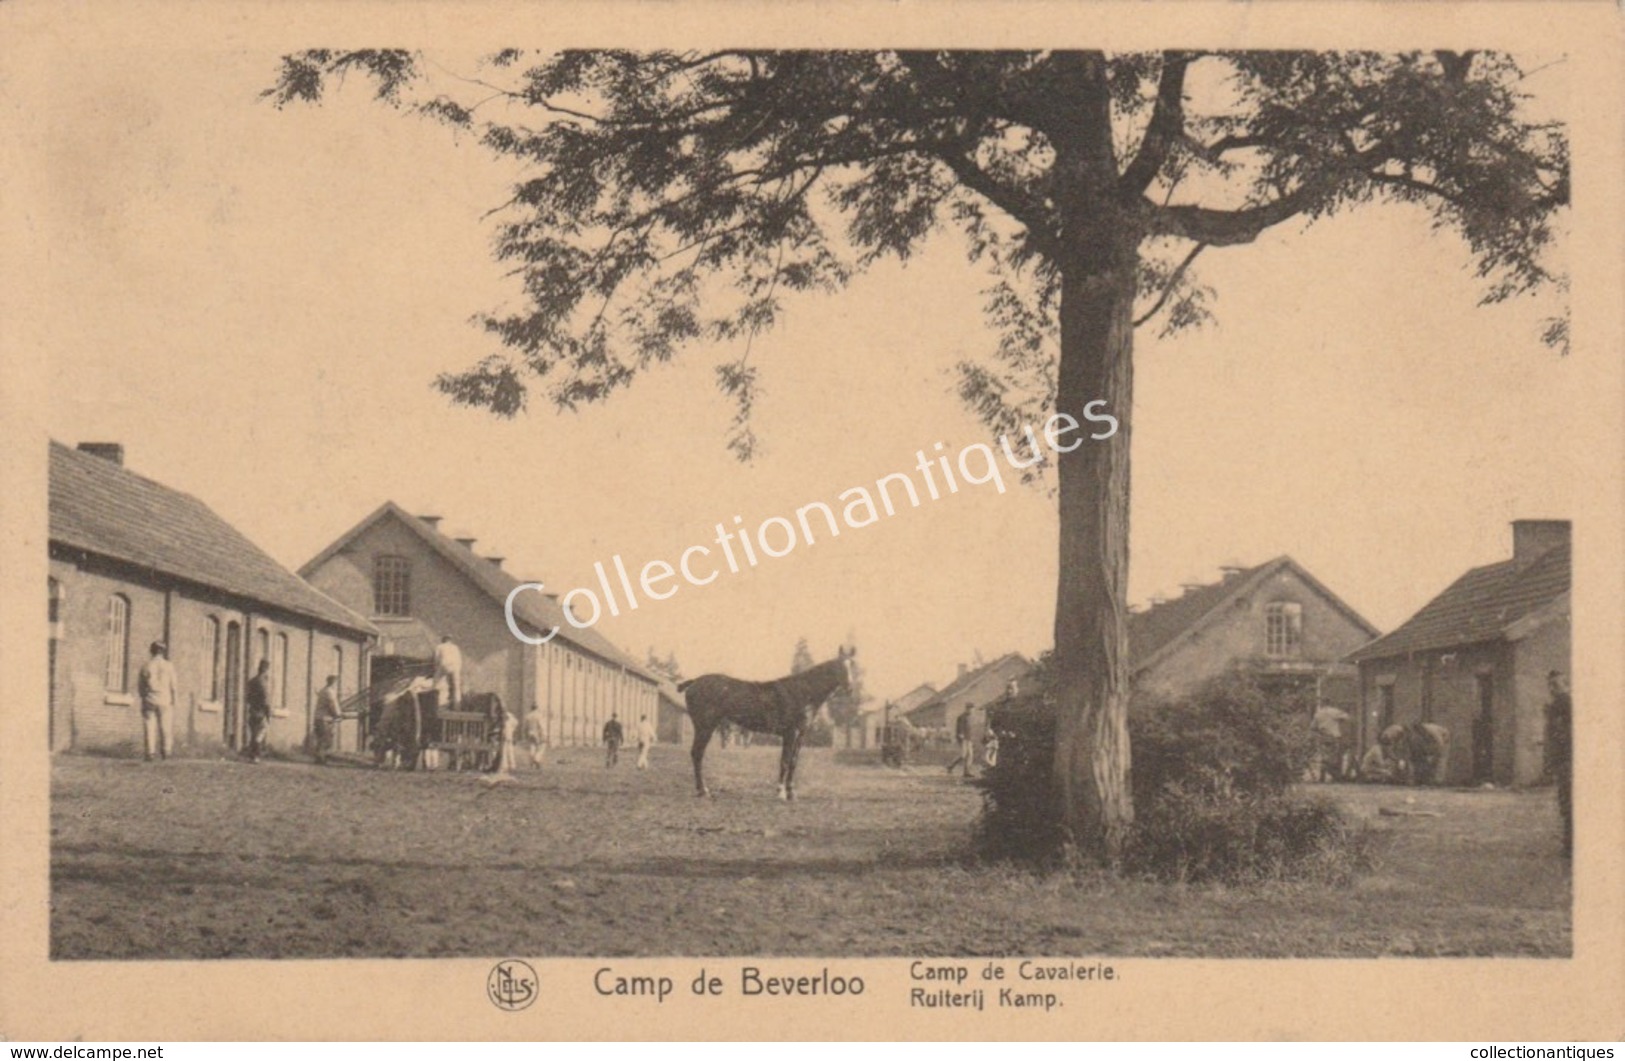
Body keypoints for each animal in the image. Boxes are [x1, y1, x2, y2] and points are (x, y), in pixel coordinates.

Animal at [676, 640, 858, 799]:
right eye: (838, 666)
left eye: (853, 665)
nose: (850, 688)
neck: (802, 692)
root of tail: (694, 682)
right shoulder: (790, 733)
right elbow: (784, 761)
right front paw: (781, 792)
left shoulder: (801, 734)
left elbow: (793, 762)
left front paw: (791, 792)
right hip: (704, 727)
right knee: (697, 753)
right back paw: (703, 790)